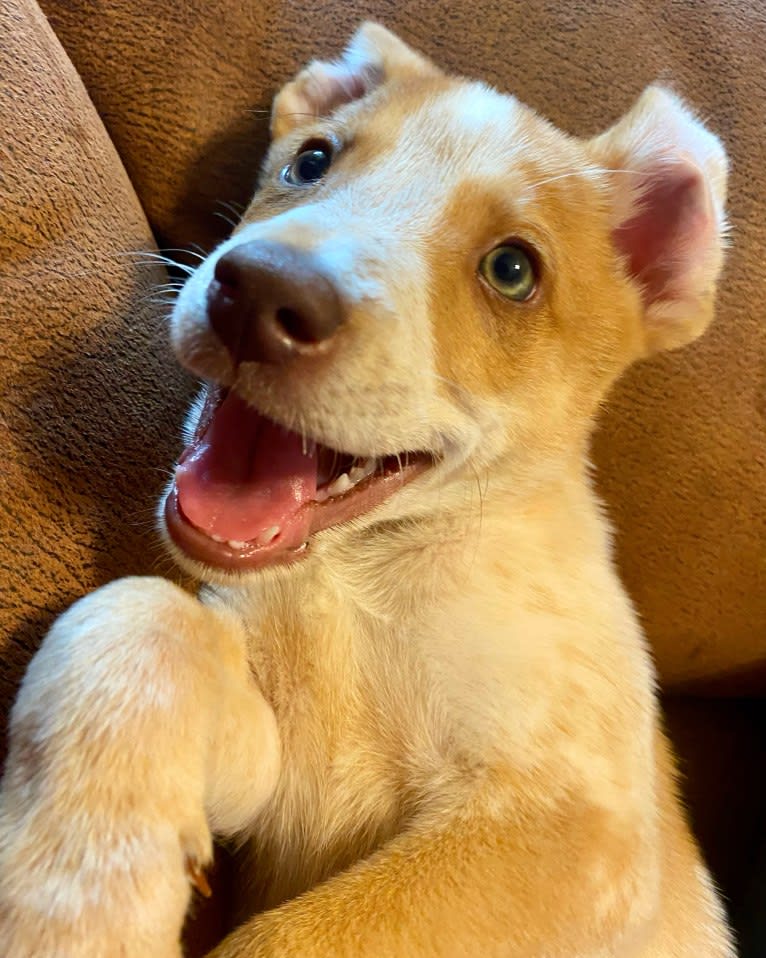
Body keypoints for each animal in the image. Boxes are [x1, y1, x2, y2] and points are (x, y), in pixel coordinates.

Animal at [0, 22, 736, 958]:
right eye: (312, 160)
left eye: (512, 270)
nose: (259, 294)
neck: (355, 572)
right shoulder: (274, 764)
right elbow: (137, 615)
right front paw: (75, 893)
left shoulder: (574, 826)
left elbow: (298, 938)